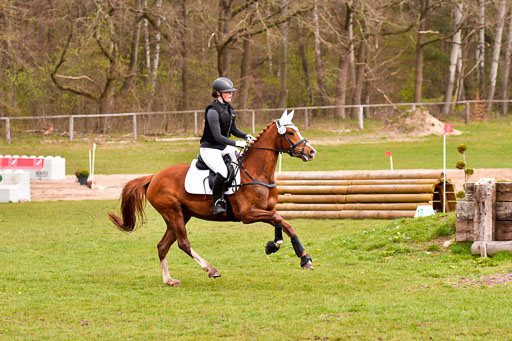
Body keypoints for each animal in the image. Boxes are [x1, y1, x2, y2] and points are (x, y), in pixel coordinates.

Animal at [108, 110, 316, 286]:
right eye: (290, 133)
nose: (311, 152)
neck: (256, 172)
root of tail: (153, 178)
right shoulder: (248, 215)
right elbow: (278, 219)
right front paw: (274, 245)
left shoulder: (266, 210)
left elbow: (285, 224)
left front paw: (303, 258)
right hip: (173, 212)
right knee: (183, 243)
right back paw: (211, 270)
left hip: (180, 216)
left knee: (162, 246)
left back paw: (169, 280)